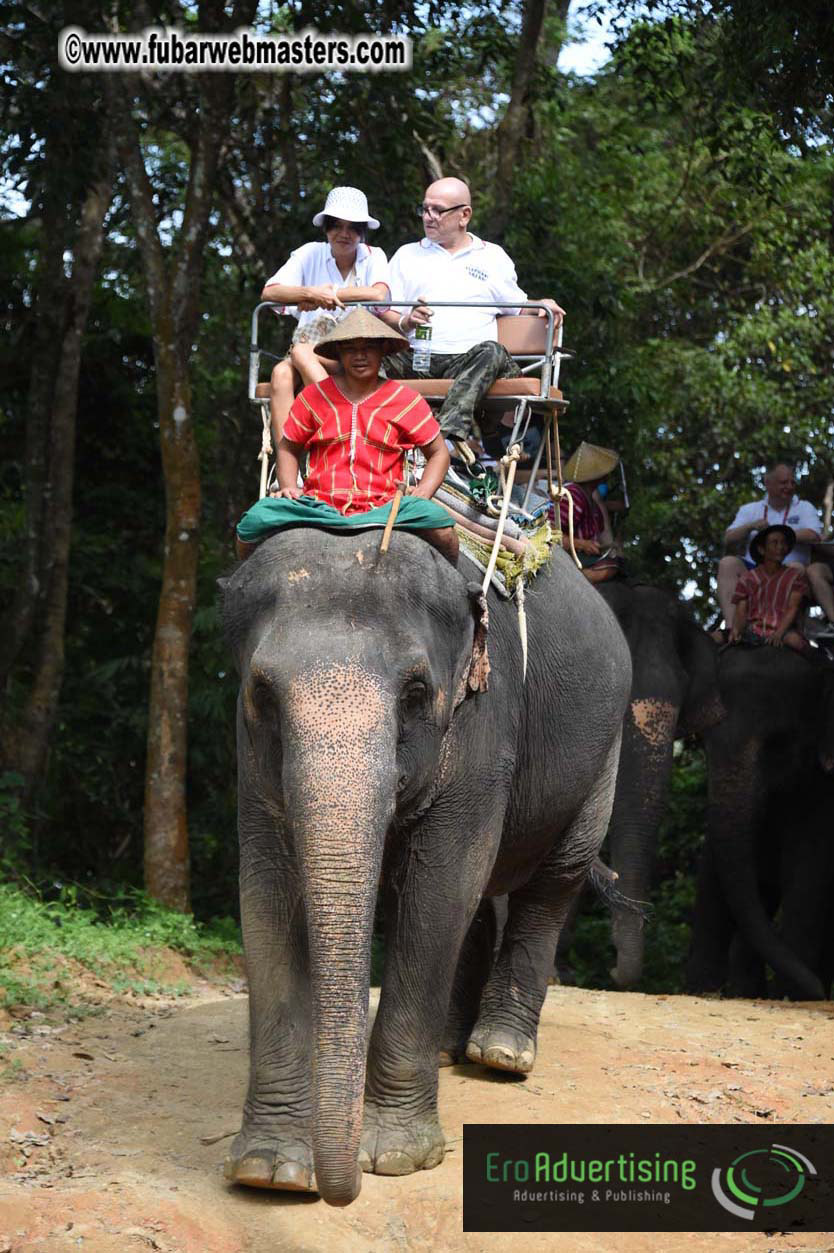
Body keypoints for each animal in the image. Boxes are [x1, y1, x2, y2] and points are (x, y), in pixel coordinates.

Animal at [220, 527, 631, 1206]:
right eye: (263, 693)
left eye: (416, 693)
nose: (338, 1190)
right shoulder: (249, 755)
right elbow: (265, 891)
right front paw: (269, 1172)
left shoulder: (483, 718)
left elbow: (441, 884)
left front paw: (392, 1159)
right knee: (484, 901)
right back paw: (447, 1051)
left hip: (605, 754)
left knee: (552, 883)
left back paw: (499, 1054)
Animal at [686, 645, 834, 1000]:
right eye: (704, 740)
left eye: (779, 742)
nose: (817, 990)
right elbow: (717, 864)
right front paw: (700, 990)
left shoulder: (823, 791)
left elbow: (806, 869)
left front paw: (795, 996)